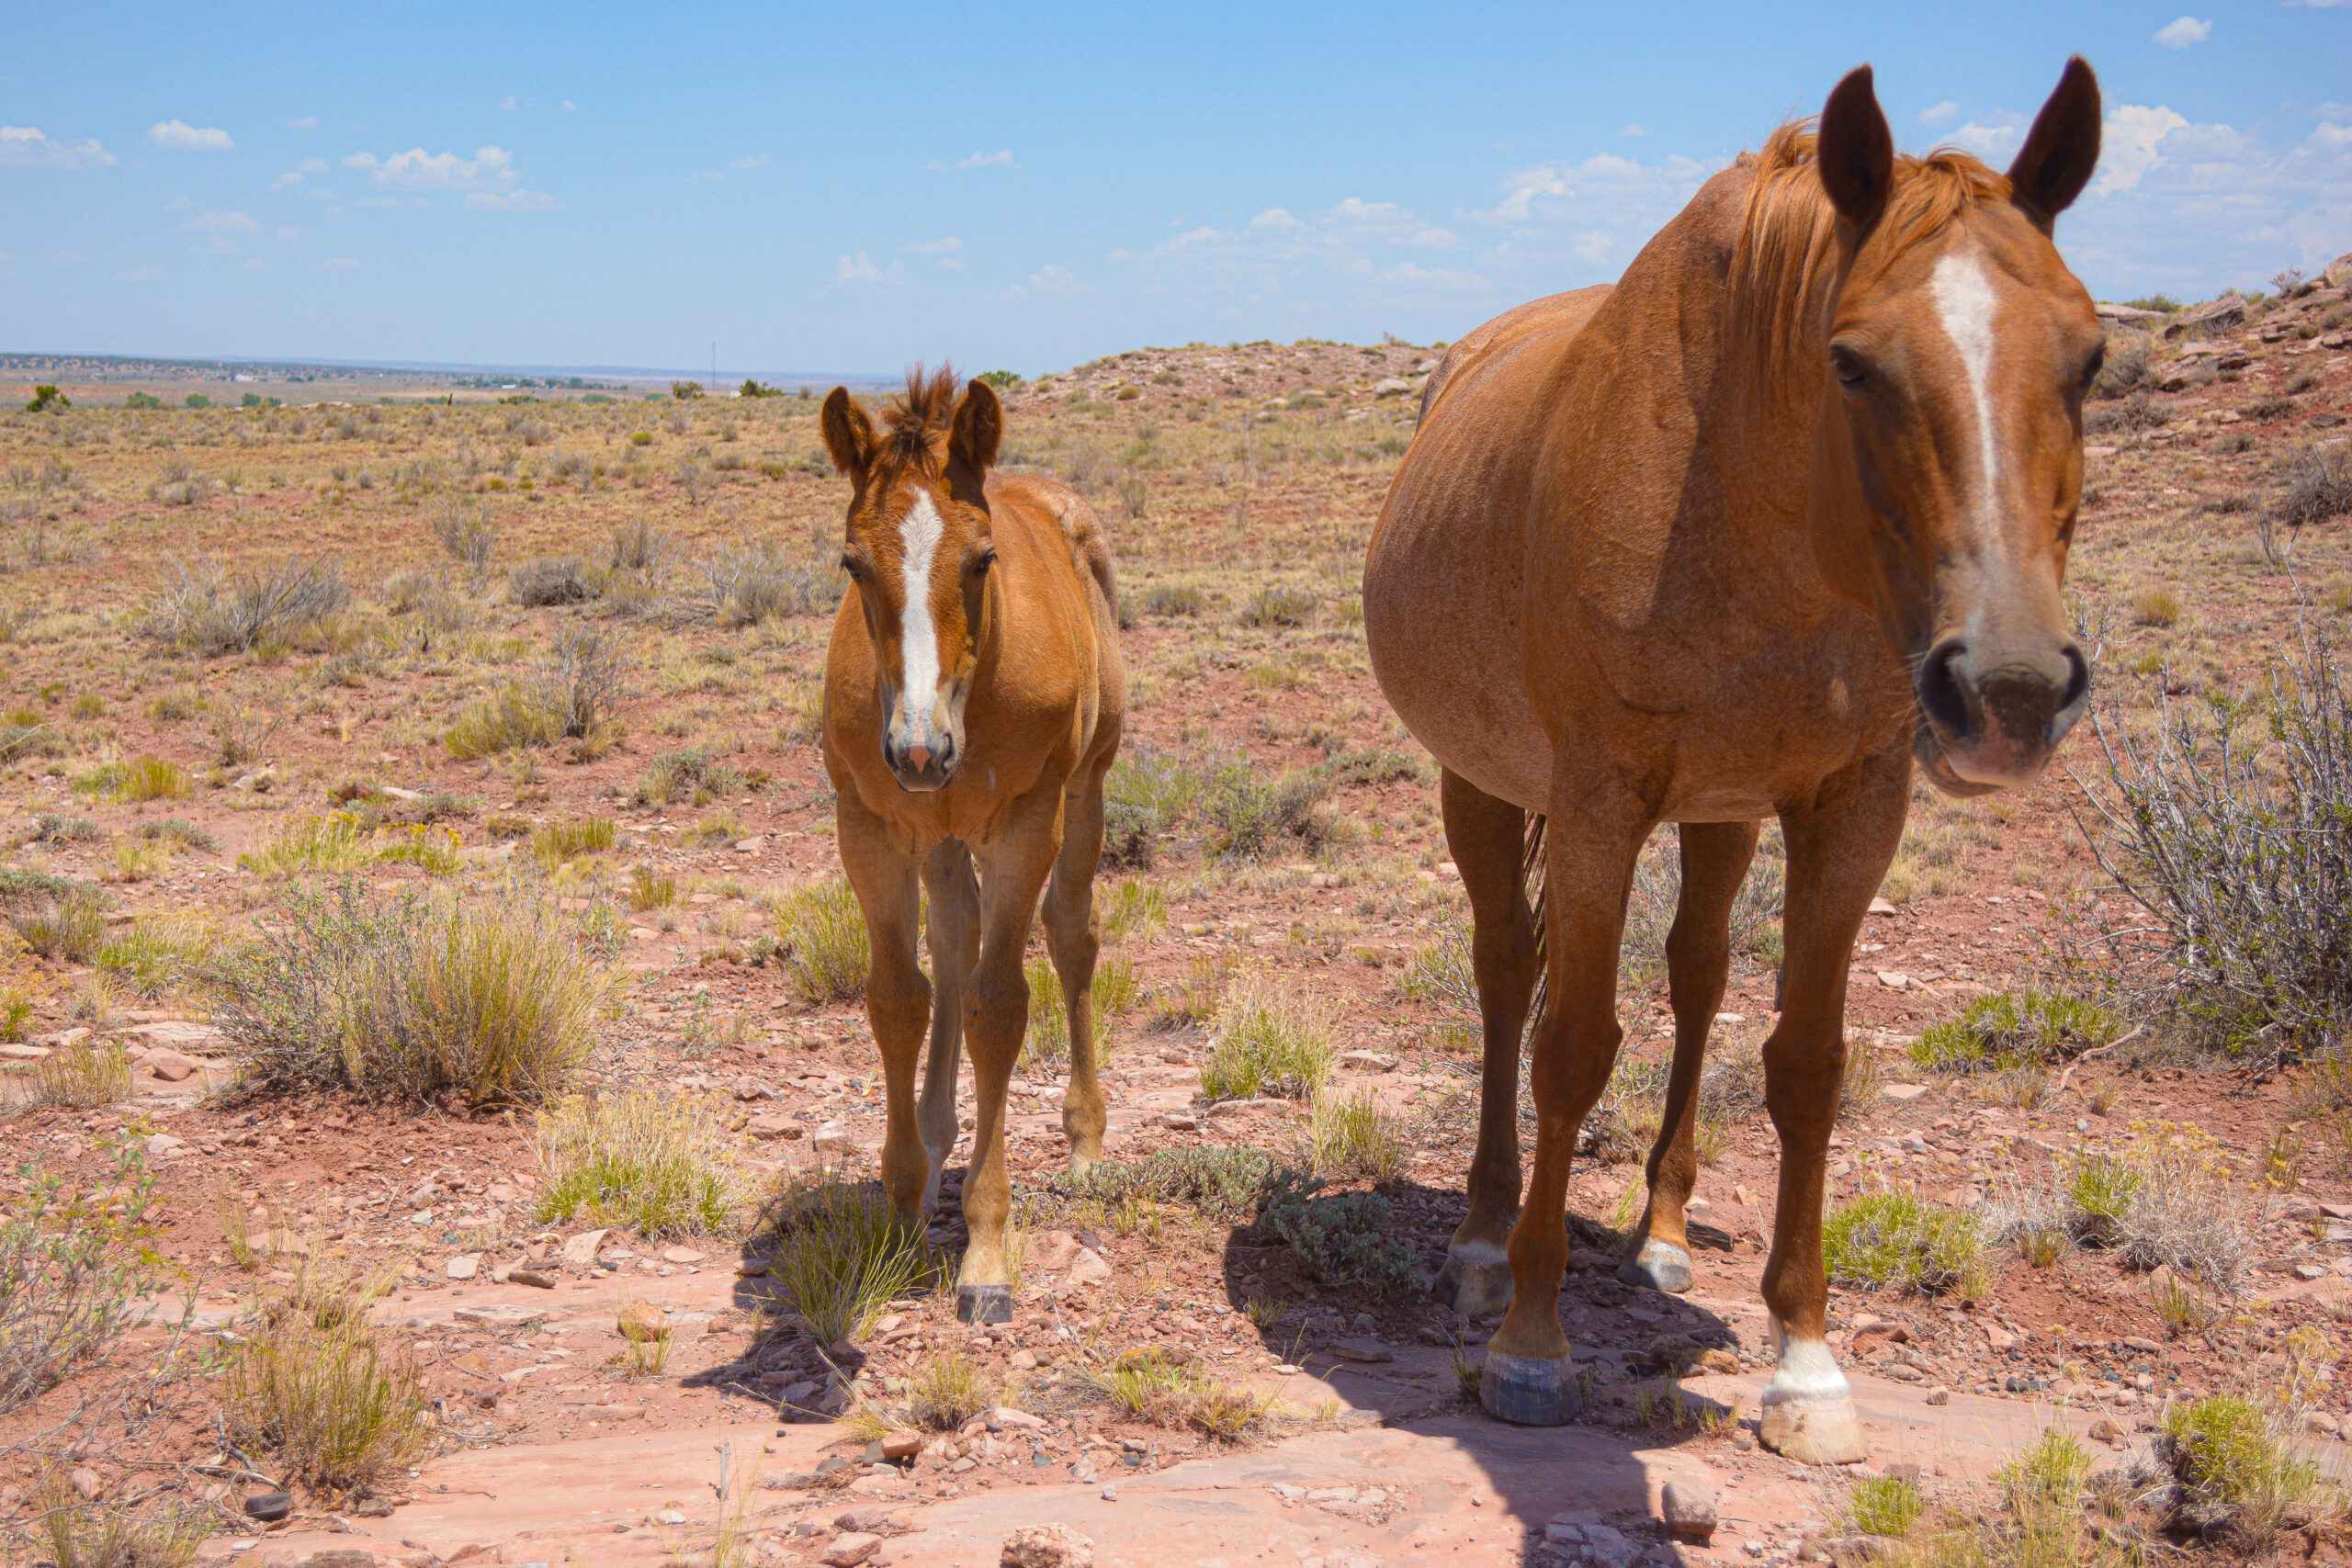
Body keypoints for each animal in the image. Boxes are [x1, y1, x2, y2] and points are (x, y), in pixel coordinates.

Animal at [818, 365, 1126, 1325]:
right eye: (853, 563)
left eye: (984, 559)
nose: (920, 749)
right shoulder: (871, 824)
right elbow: (899, 998)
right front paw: (900, 1207)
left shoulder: (1029, 819)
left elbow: (1000, 1004)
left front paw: (987, 1249)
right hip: (942, 834)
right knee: (954, 934)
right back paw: (934, 1127)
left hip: (1084, 790)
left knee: (1070, 936)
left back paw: (1085, 1139)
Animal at [1362, 60, 2104, 1461]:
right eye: (1851, 361)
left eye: (2090, 356)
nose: (2010, 689)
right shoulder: (1595, 801)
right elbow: (1569, 1041)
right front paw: (1532, 1342)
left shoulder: (1851, 803)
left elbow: (1807, 1062)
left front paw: (1806, 1362)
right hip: (1481, 785)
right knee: (1504, 977)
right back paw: (1484, 1239)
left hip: (1721, 812)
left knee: (1697, 977)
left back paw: (1657, 1233)